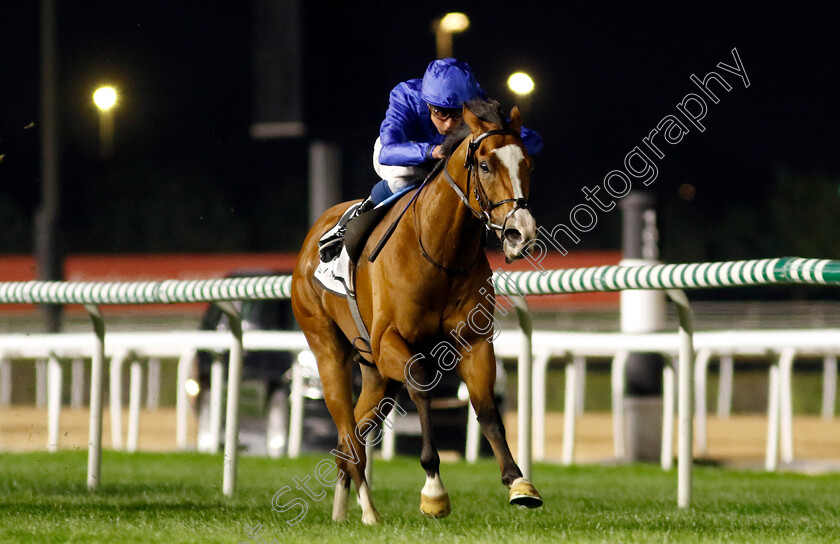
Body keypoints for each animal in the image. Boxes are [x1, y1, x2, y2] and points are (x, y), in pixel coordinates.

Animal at [288, 98, 540, 524]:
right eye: (485, 165)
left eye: (527, 164)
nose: (520, 232)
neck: (440, 253)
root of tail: (311, 237)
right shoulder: (391, 341)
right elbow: (421, 384)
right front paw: (434, 490)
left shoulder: (473, 341)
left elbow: (486, 407)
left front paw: (519, 483)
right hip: (327, 350)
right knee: (348, 434)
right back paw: (369, 511)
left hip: (375, 373)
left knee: (350, 437)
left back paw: (344, 512)